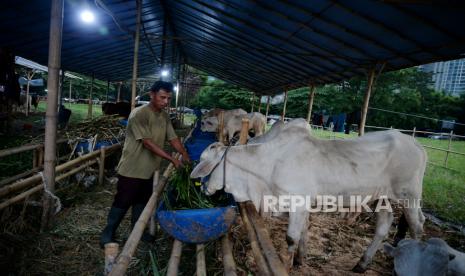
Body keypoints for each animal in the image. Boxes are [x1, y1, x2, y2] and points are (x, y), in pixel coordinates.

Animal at [190, 127, 426, 272]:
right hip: (381, 198)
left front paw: (287, 266)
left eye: (203, 162)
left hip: (410, 196)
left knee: (417, 225)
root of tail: (415, 143)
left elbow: (291, 238)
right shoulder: (301, 206)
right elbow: (303, 232)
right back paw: (362, 263)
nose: (203, 189)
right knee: (385, 225)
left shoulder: (297, 203)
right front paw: (300, 260)